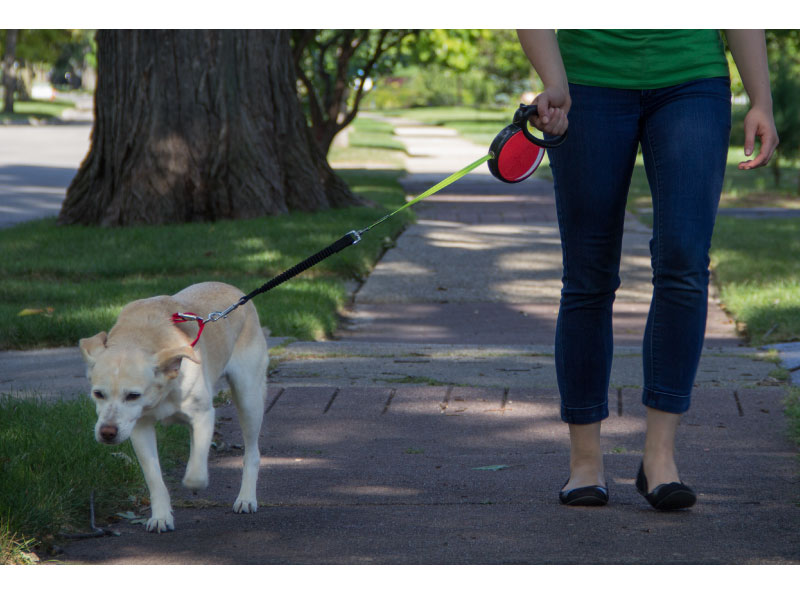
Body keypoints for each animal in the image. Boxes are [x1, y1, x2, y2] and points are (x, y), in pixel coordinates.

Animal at [80, 282, 268, 536]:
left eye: (133, 395)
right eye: (98, 394)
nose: (107, 433)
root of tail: (234, 290)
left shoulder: (203, 416)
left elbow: (196, 472)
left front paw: (194, 484)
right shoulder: (140, 427)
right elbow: (154, 477)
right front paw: (161, 517)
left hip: (248, 397)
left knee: (251, 452)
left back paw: (246, 498)